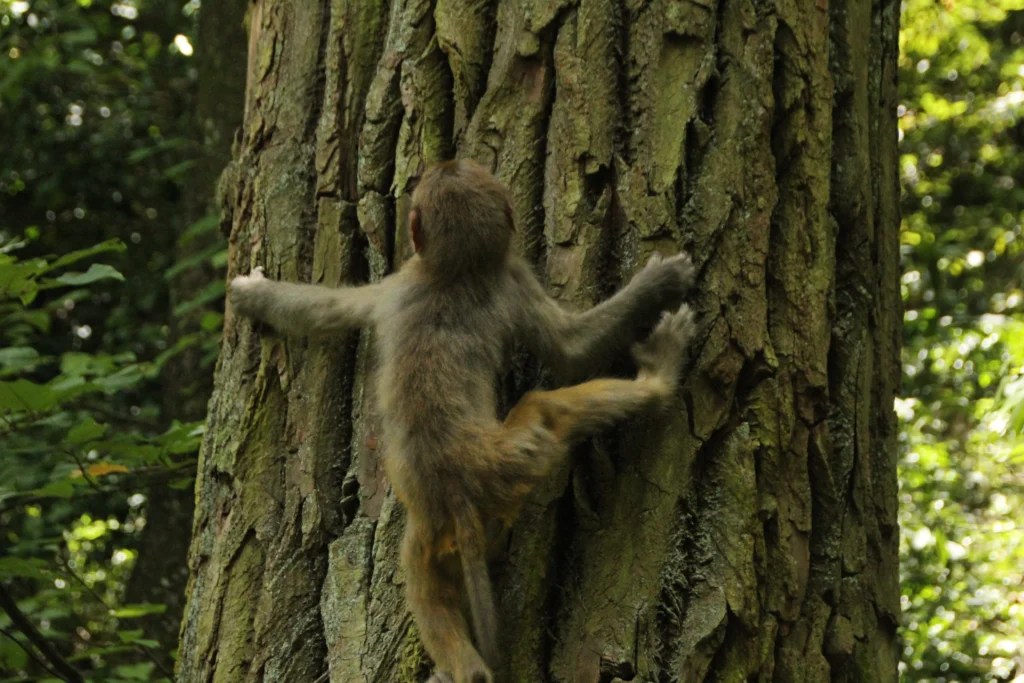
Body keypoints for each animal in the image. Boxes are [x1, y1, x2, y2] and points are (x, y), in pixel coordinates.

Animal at [229, 159, 697, 683]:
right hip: (506, 463)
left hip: (461, 500)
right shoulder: (496, 278)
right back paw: (658, 379)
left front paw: (253, 296)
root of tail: (458, 490)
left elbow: (327, 311)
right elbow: (571, 351)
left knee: (424, 576)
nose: (444, 163)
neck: (454, 270)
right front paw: (658, 285)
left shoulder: (401, 286)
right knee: (546, 409)